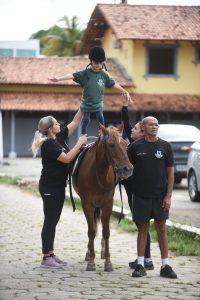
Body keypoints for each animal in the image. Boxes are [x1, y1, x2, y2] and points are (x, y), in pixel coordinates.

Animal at [72, 123, 133, 274]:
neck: (98, 173)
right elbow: (91, 231)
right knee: (93, 228)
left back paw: (103, 252)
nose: (127, 169)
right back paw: (89, 253)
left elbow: (106, 232)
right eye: (111, 145)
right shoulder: (87, 205)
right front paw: (91, 261)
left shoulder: (107, 204)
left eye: (125, 144)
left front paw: (108, 261)